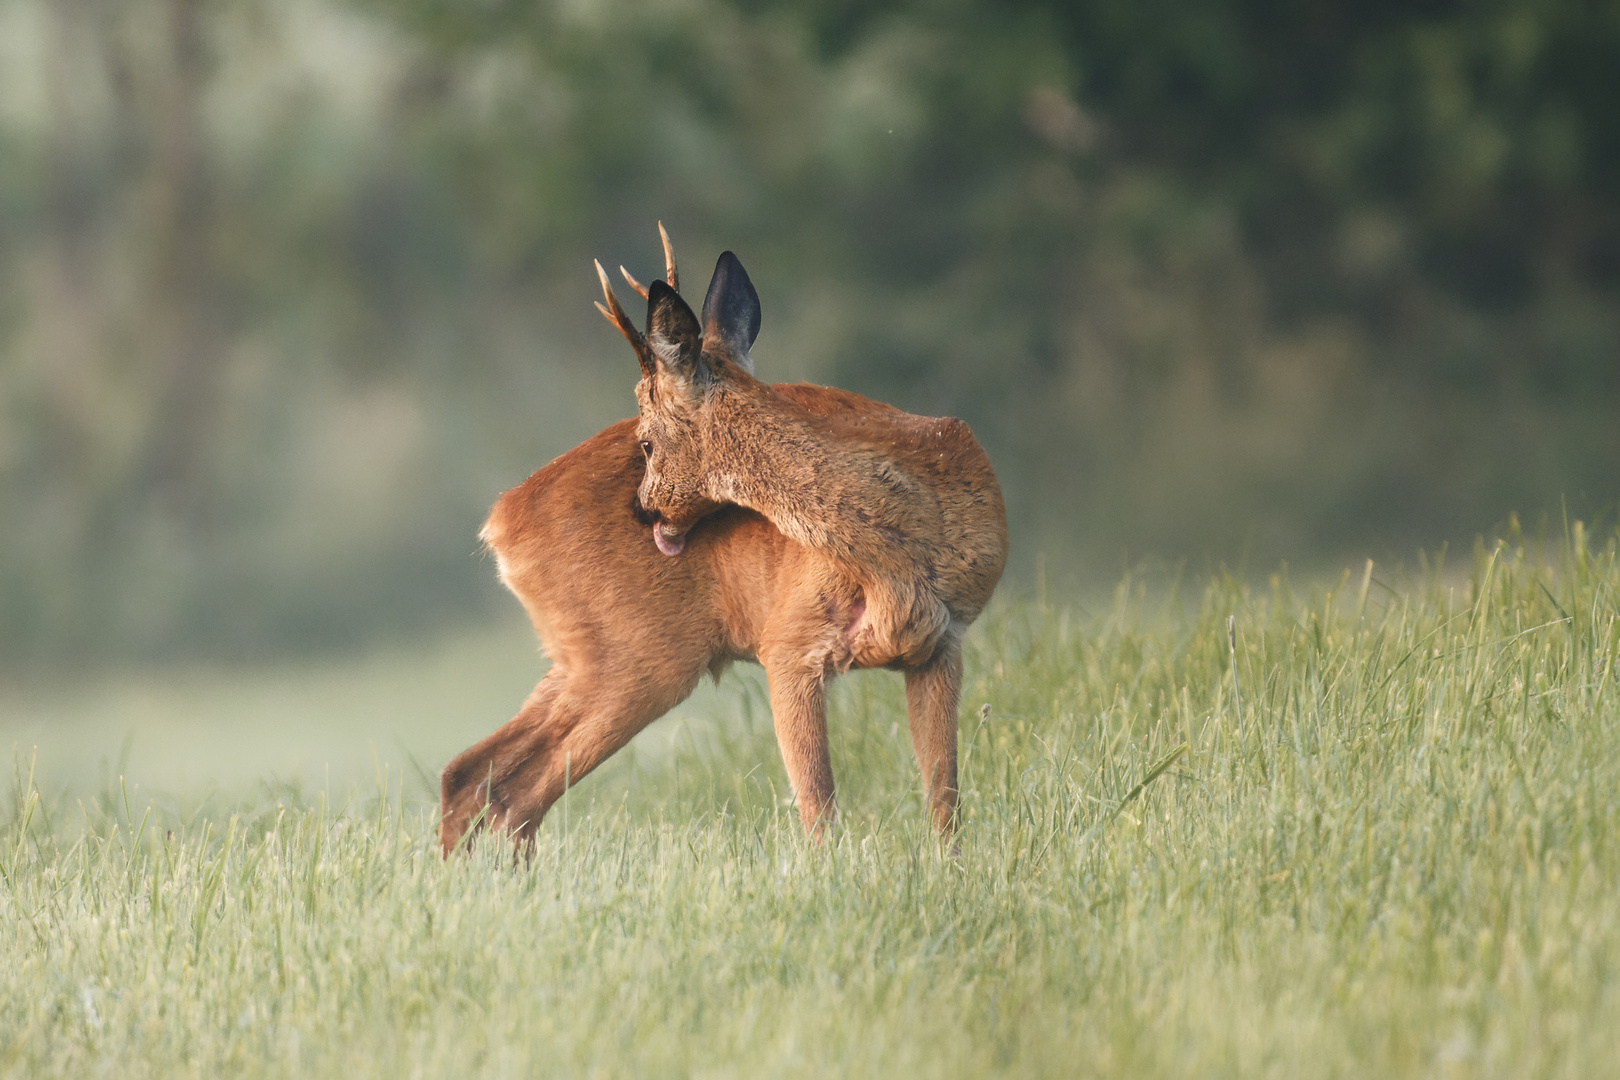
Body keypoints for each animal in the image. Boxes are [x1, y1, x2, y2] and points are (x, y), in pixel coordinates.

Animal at [437, 228, 1004, 854]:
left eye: (646, 442)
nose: (640, 510)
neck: (899, 557)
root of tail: (500, 524)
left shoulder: (942, 644)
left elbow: (944, 801)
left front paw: (949, 870)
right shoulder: (788, 640)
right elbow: (819, 805)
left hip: (583, 655)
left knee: (477, 777)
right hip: (634, 657)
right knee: (508, 791)